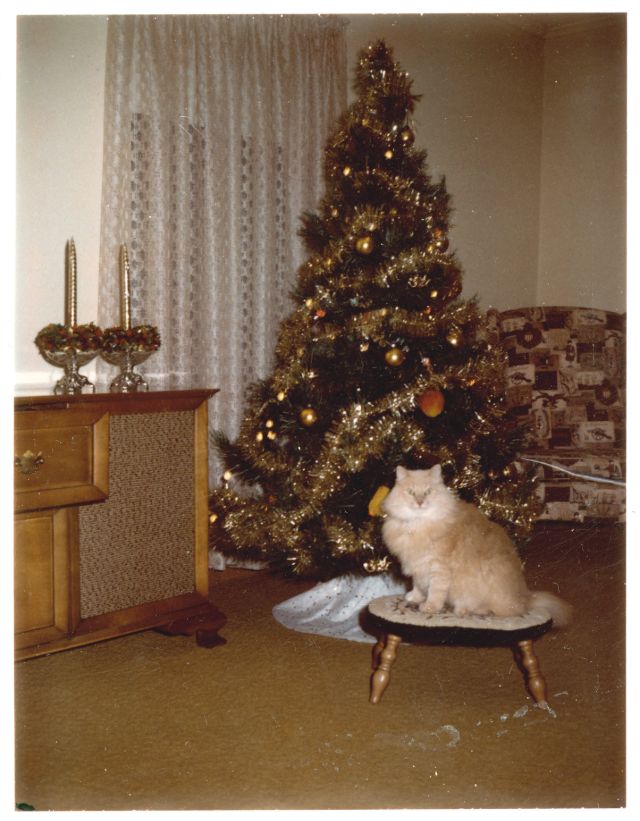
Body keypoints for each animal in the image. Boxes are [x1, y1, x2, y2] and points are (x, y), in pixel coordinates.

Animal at [381, 465, 571, 626]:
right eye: (411, 492)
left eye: (428, 492)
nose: (419, 502)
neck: (418, 525)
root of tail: (526, 599)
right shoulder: (418, 567)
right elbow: (419, 586)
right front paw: (414, 597)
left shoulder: (438, 568)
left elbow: (435, 592)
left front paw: (429, 607)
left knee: (494, 610)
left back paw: (464, 610)